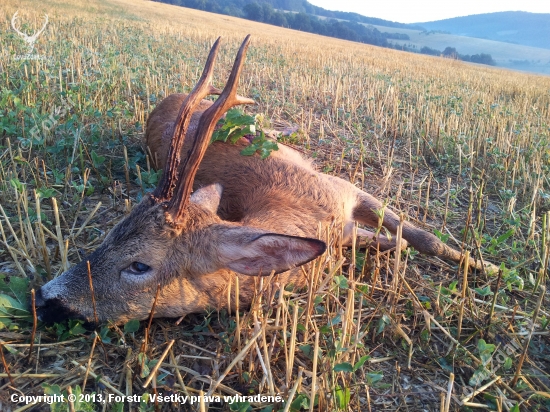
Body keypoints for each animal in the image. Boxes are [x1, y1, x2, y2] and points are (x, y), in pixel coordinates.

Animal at [35, 35, 500, 326]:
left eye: (139, 265)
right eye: (108, 236)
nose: (44, 298)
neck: (307, 216)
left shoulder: (345, 189)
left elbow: (425, 238)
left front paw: (489, 266)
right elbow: (398, 242)